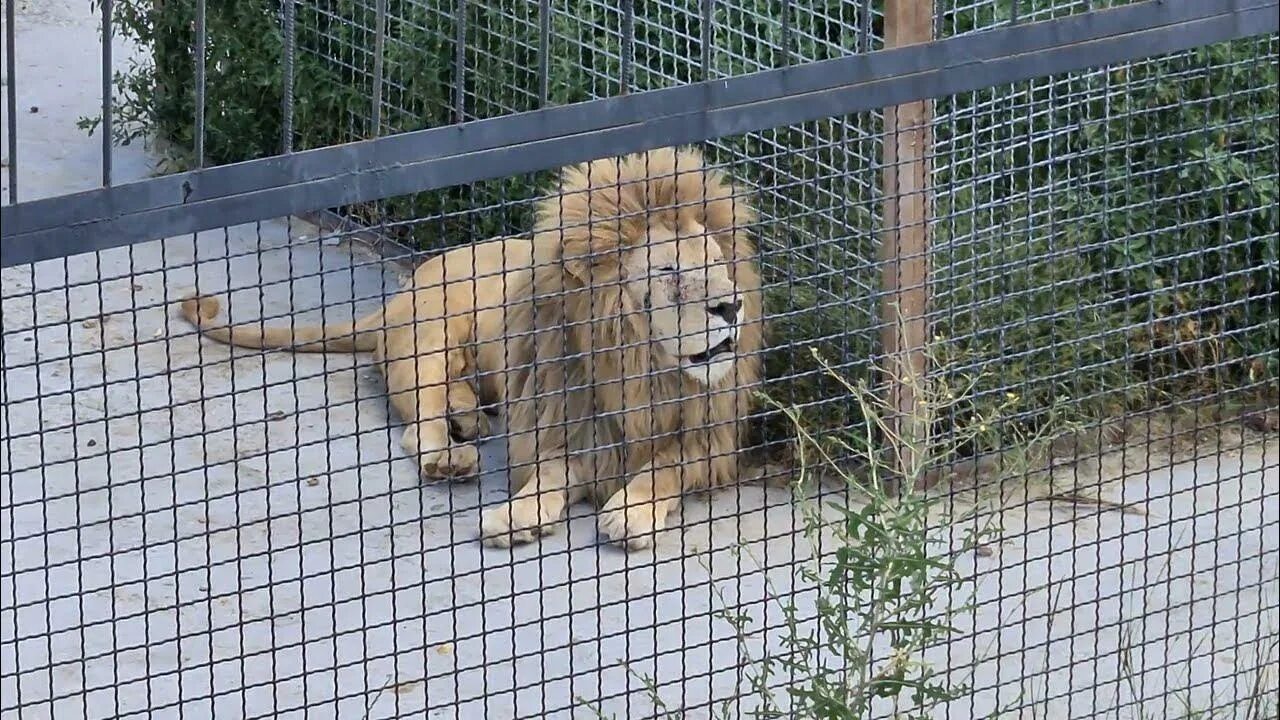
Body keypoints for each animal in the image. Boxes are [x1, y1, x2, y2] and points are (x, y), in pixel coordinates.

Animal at [180, 147, 757, 548]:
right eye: (669, 271)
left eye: (715, 260)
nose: (731, 307)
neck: (639, 368)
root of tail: (399, 292)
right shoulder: (564, 430)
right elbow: (546, 477)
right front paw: (515, 515)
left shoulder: (711, 440)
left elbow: (662, 469)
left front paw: (628, 512)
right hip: (429, 342)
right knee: (420, 421)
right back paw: (450, 455)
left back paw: (469, 416)